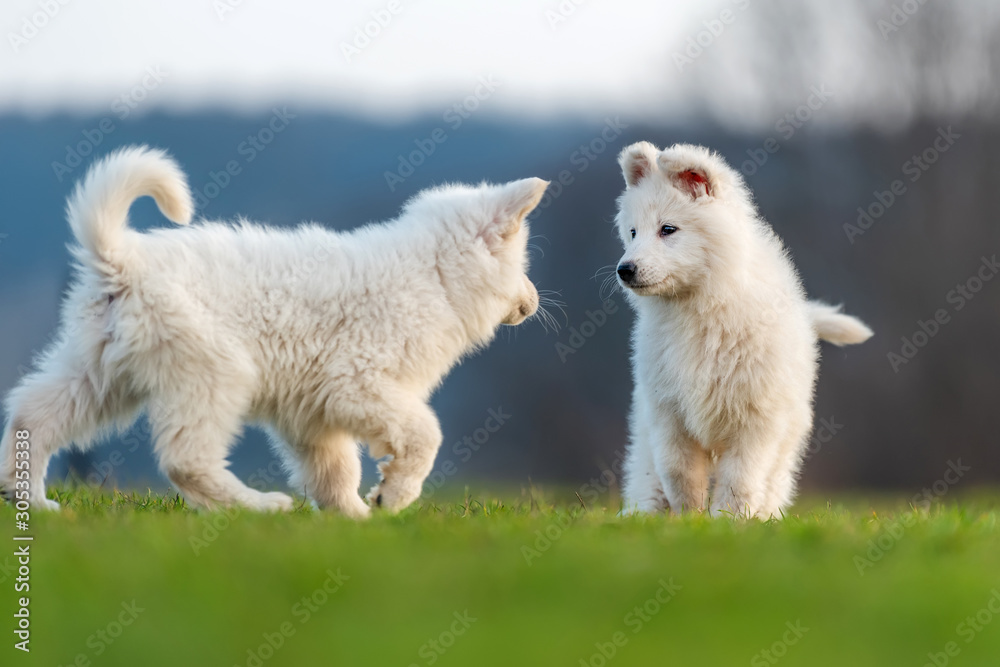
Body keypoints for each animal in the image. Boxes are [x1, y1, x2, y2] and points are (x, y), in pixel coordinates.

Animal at [0, 149, 548, 520]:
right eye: (523, 263)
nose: (535, 301)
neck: (432, 275)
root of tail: (121, 260)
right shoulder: (356, 383)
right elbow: (424, 433)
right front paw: (394, 495)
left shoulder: (313, 416)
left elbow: (335, 472)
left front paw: (356, 521)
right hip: (214, 373)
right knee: (186, 460)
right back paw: (258, 508)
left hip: (98, 374)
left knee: (32, 413)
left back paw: (30, 501)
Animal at [612, 141, 872, 520]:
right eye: (633, 232)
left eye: (668, 229)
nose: (624, 269)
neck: (699, 308)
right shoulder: (669, 414)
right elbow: (679, 472)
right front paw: (686, 520)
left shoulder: (756, 418)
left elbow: (740, 479)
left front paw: (727, 522)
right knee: (646, 475)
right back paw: (642, 514)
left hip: (787, 435)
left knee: (773, 482)